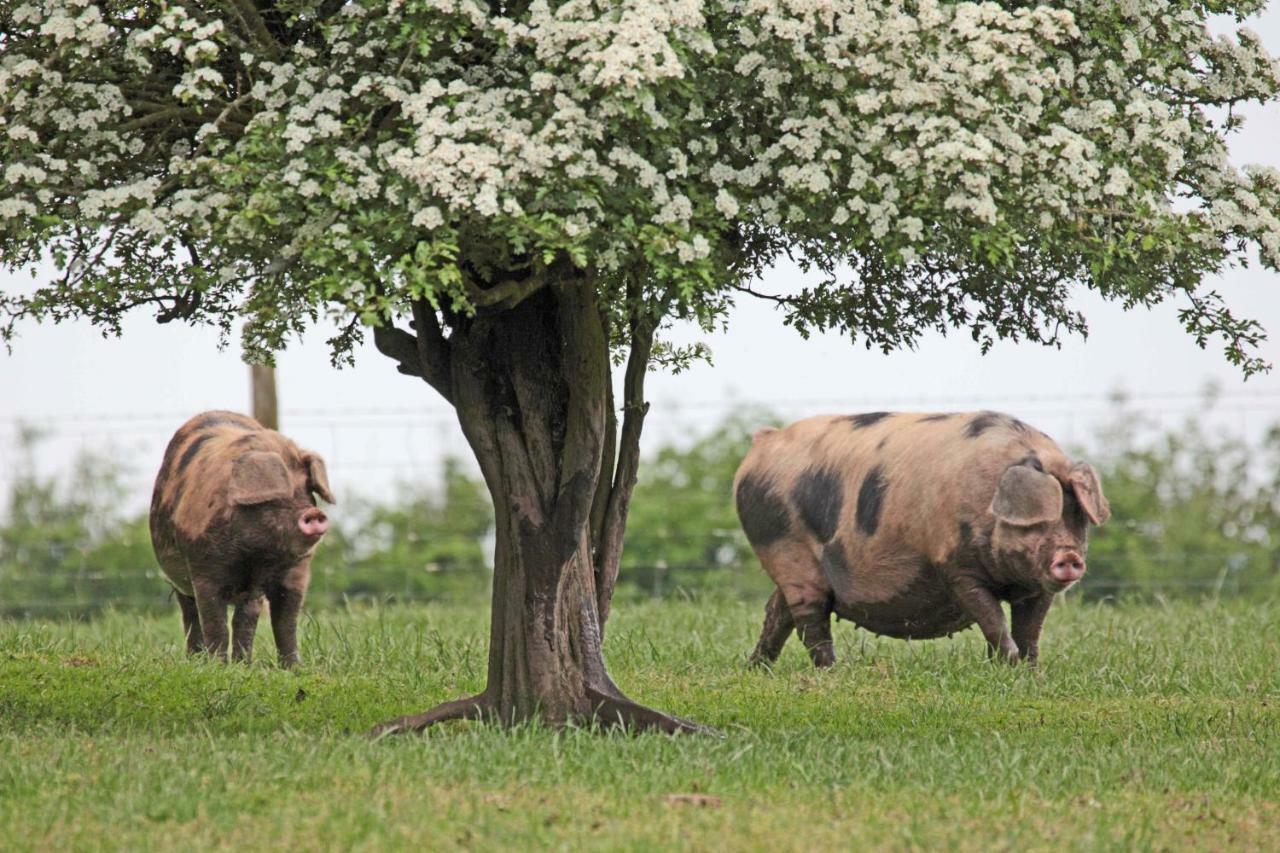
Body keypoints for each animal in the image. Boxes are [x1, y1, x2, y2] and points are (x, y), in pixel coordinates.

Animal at [149, 409, 335, 666]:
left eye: (308, 491)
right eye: (277, 497)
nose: (314, 513)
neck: (255, 556)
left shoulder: (291, 574)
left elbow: (282, 623)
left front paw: (293, 669)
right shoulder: (203, 569)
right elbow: (215, 623)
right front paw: (217, 667)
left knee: (251, 618)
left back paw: (249, 664)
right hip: (180, 580)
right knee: (191, 614)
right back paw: (197, 660)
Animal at [742, 409, 1111, 666]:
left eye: (1076, 516)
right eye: (1037, 520)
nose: (1069, 557)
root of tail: (762, 444)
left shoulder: (1036, 587)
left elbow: (1030, 632)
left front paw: (1030, 673)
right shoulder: (958, 569)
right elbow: (994, 621)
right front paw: (1009, 665)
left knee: (777, 610)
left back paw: (757, 668)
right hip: (786, 551)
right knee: (809, 618)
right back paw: (833, 672)